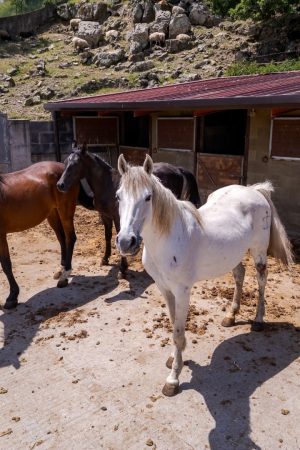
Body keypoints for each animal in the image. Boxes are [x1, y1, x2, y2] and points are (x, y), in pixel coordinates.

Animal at [0, 161, 89, 310]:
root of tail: (63, 166)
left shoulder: (1, 235)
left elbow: (6, 264)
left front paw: (12, 298)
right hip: (52, 213)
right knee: (62, 239)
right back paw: (61, 270)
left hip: (65, 211)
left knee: (70, 238)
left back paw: (64, 277)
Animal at [115, 155, 292, 398]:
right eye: (118, 196)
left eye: (148, 197)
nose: (126, 242)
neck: (169, 239)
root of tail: (254, 190)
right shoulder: (164, 288)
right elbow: (174, 325)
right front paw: (174, 358)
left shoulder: (182, 291)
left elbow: (178, 332)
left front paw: (173, 379)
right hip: (233, 255)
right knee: (240, 275)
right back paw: (231, 316)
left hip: (258, 253)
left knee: (261, 280)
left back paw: (258, 321)